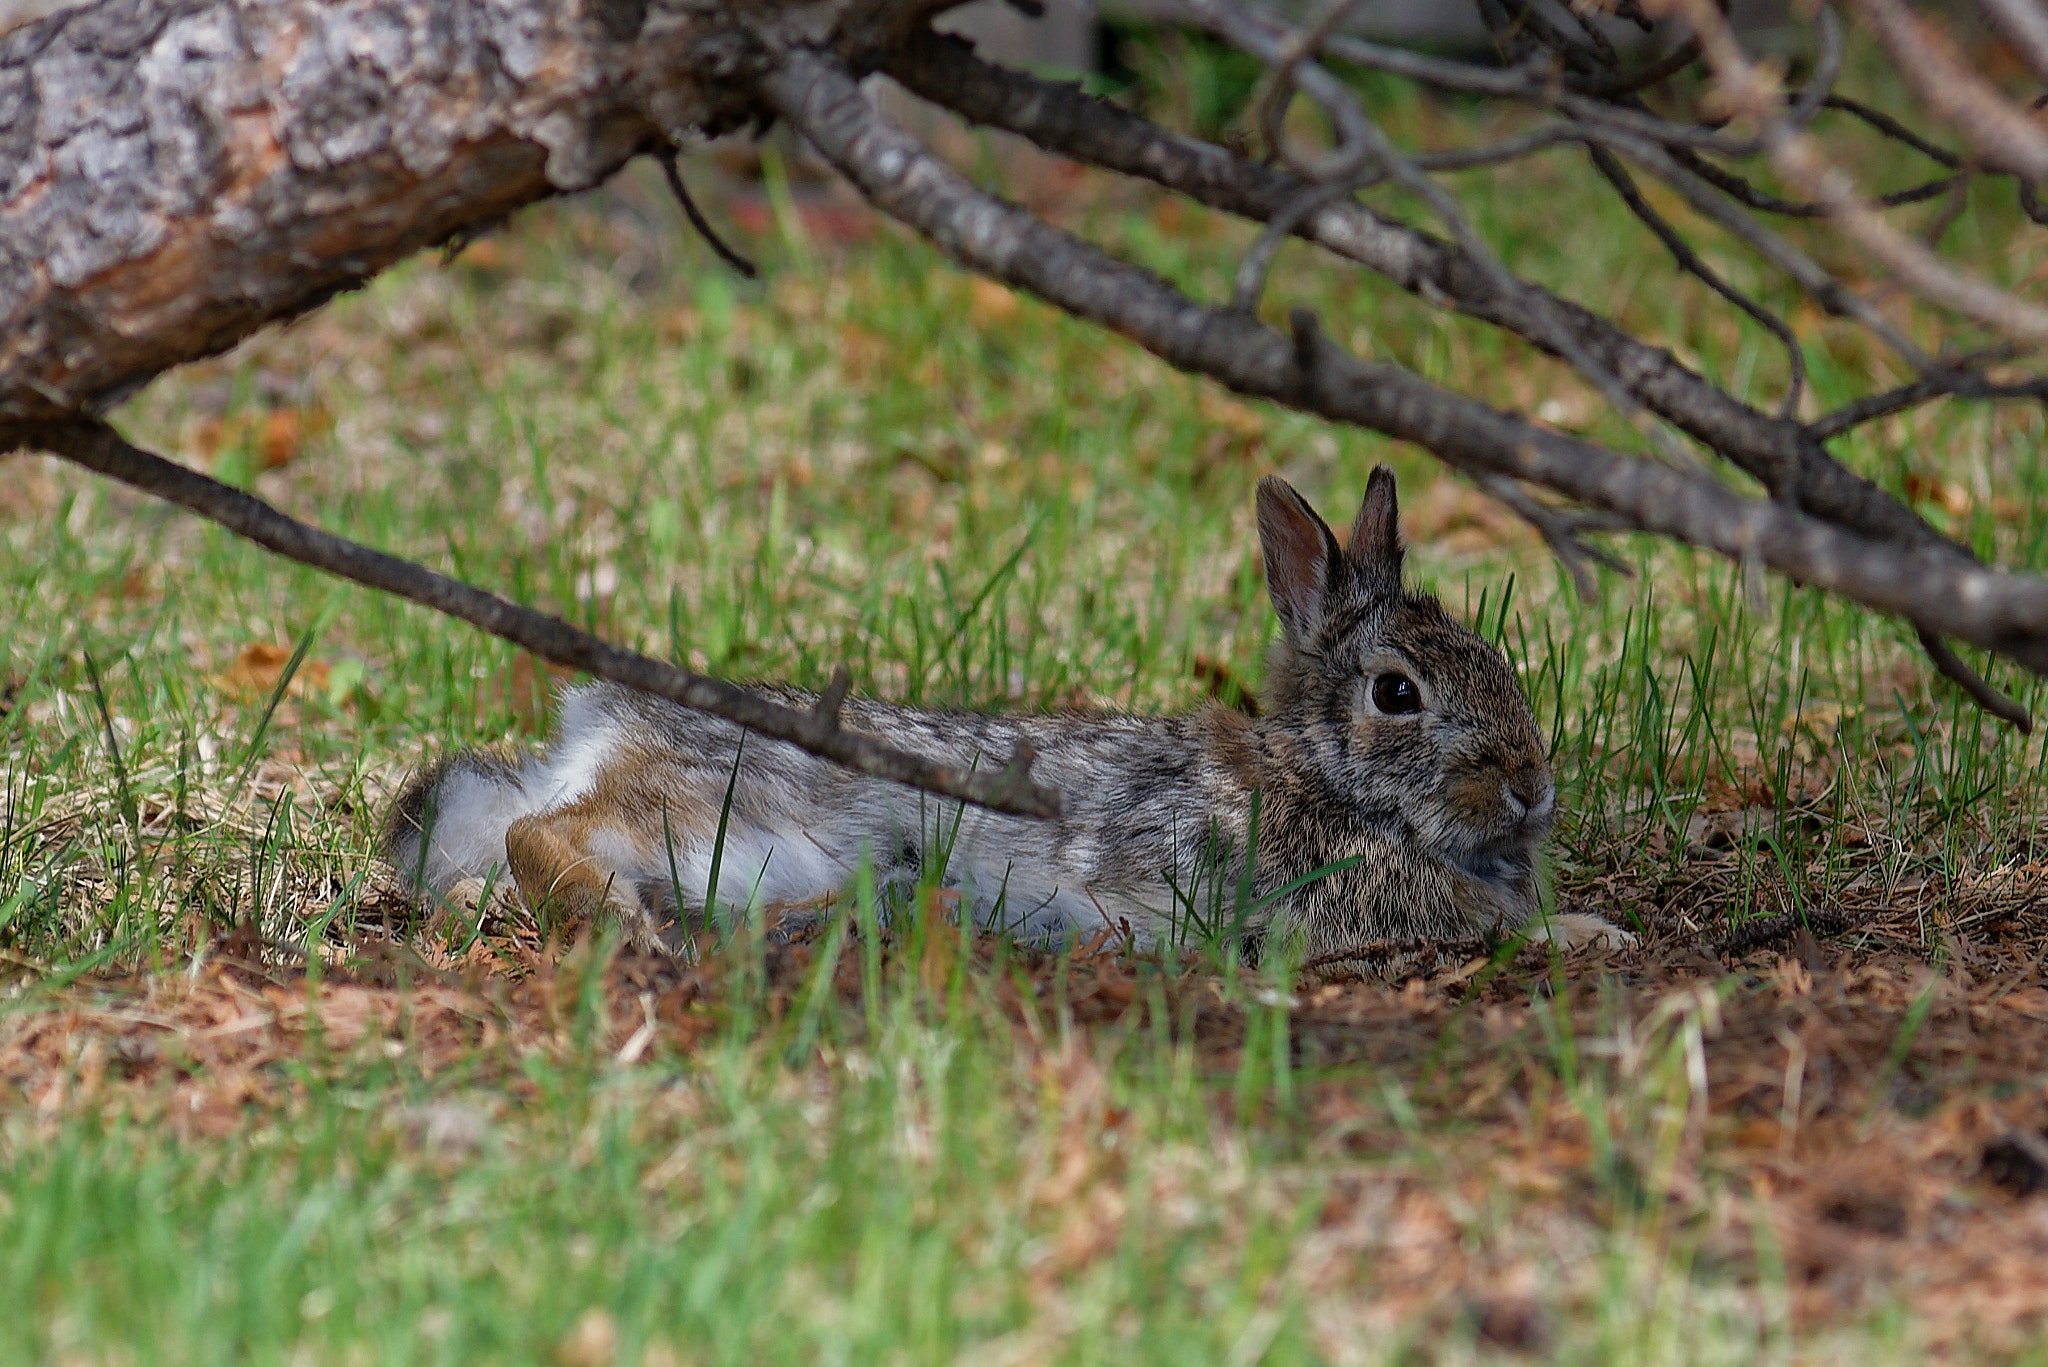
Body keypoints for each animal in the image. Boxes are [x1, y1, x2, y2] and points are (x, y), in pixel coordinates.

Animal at [385, 467, 1630, 963]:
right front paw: (1592, 934)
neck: (1320, 776)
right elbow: (1495, 924)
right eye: (1395, 693)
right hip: (720, 826)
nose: (1531, 784)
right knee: (539, 834)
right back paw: (618, 918)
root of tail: (599, 727)